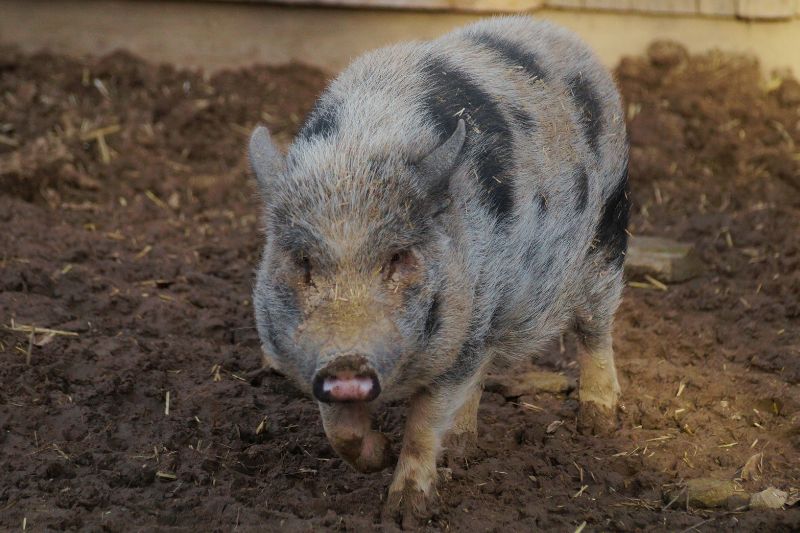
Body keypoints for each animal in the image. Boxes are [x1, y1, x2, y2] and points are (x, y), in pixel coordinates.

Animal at [248, 16, 629, 522]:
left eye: (398, 257)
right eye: (303, 263)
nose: (347, 365)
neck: (360, 152)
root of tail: (556, 31)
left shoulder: (457, 330)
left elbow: (425, 421)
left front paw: (406, 510)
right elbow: (339, 430)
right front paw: (380, 455)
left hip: (607, 233)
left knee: (595, 329)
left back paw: (598, 422)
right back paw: (464, 448)